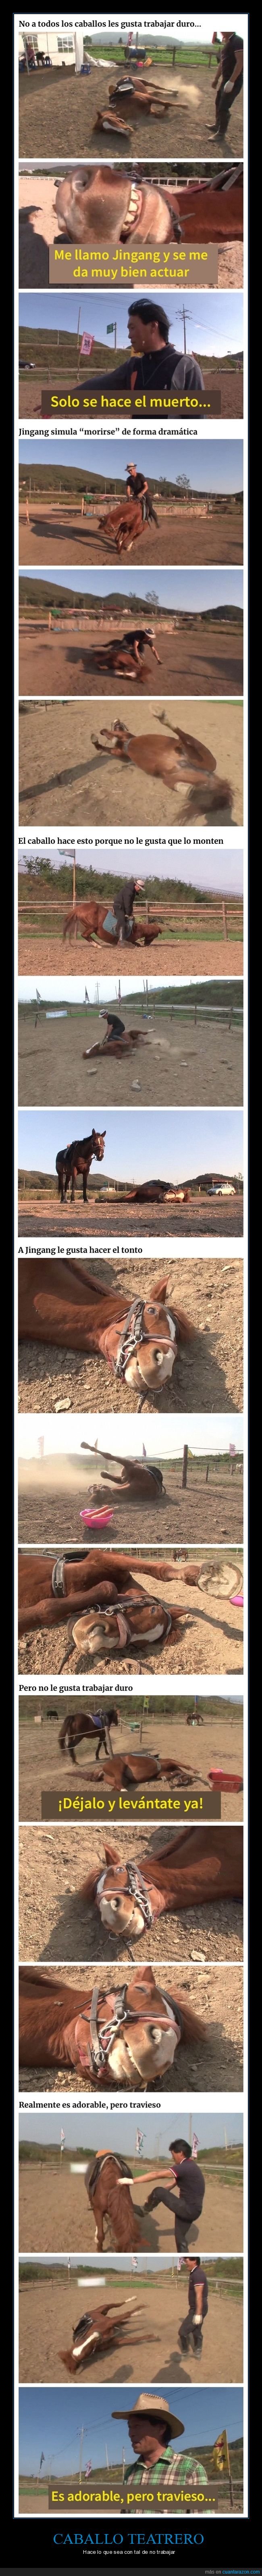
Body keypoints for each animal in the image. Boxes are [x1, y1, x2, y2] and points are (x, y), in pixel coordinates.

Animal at [55, 1130, 106, 1206]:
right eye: (94, 1142)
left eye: (104, 1143)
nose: (100, 1156)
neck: (83, 1156)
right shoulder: (74, 1170)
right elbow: (74, 1184)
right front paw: (73, 1199)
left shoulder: (86, 1172)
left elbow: (85, 1185)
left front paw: (86, 1199)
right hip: (60, 1174)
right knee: (62, 1186)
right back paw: (62, 1200)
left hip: (68, 1175)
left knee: (66, 1185)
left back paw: (66, 1200)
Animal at [63, 900, 160, 948]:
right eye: (155, 936)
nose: (147, 944)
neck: (136, 929)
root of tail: (80, 908)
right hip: (92, 927)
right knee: (85, 935)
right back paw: (98, 946)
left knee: (88, 936)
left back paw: (99, 944)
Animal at [91, 717, 234, 825]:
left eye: (119, 724)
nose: (117, 720)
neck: (126, 743)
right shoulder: (119, 752)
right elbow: (107, 747)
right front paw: (97, 743)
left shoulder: (121, 736)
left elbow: (109, 734)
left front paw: (104, 737)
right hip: (176, 777)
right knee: (175, 783)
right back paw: (188, 790)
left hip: (198, 750)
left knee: (183, 736)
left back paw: (163, 718)